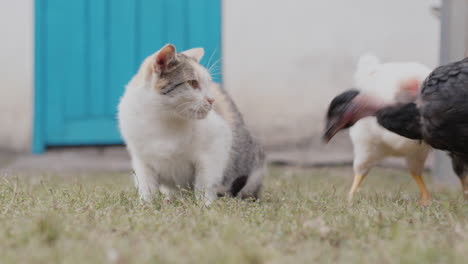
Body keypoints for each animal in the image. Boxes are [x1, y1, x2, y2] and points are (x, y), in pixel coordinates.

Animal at [119, 44, 266, 204]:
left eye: (208, 83)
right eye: (192, 83)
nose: (212, 100)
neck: (163, 118)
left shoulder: (216, 145)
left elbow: (205, 182)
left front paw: (205, 204)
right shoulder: (141, 160)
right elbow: (146, 185)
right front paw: (146, 204)